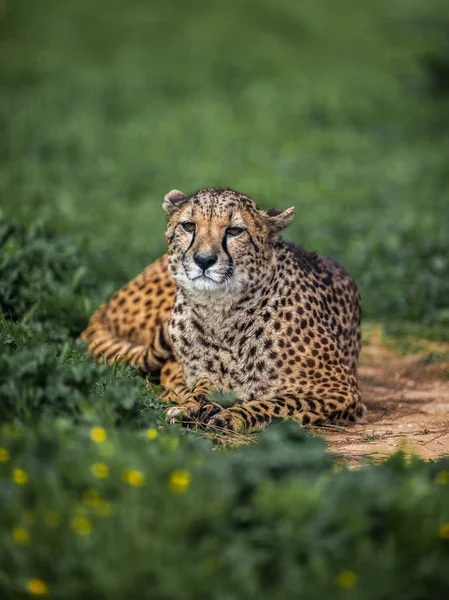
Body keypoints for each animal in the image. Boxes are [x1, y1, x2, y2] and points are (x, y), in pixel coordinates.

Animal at [82, 188, 366, 432]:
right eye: (189, 226)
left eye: (234, 231)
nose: (204, 260)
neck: (221, 313)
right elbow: (202, 384)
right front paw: (192, 405)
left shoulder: (341, 391)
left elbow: (279, 403)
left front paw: (233, 415)